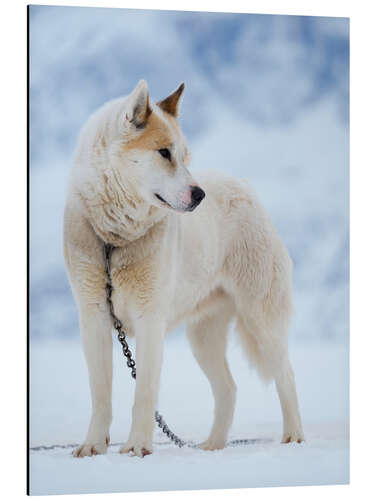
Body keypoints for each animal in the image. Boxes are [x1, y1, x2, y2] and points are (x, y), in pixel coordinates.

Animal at [64, 79, 306, 458]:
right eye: (164, 153)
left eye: (184, 156)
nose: (199, 195)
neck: (114, 240)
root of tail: (243, 186)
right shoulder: (94, 318)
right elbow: (101, 395)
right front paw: (92, 445)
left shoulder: (150, 320)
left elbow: (144, 394)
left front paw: (137, 447)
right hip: (203, 338)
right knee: (228, 388)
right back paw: (212, 446)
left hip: (261, 318)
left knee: (286, 374)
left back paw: (293, 436)